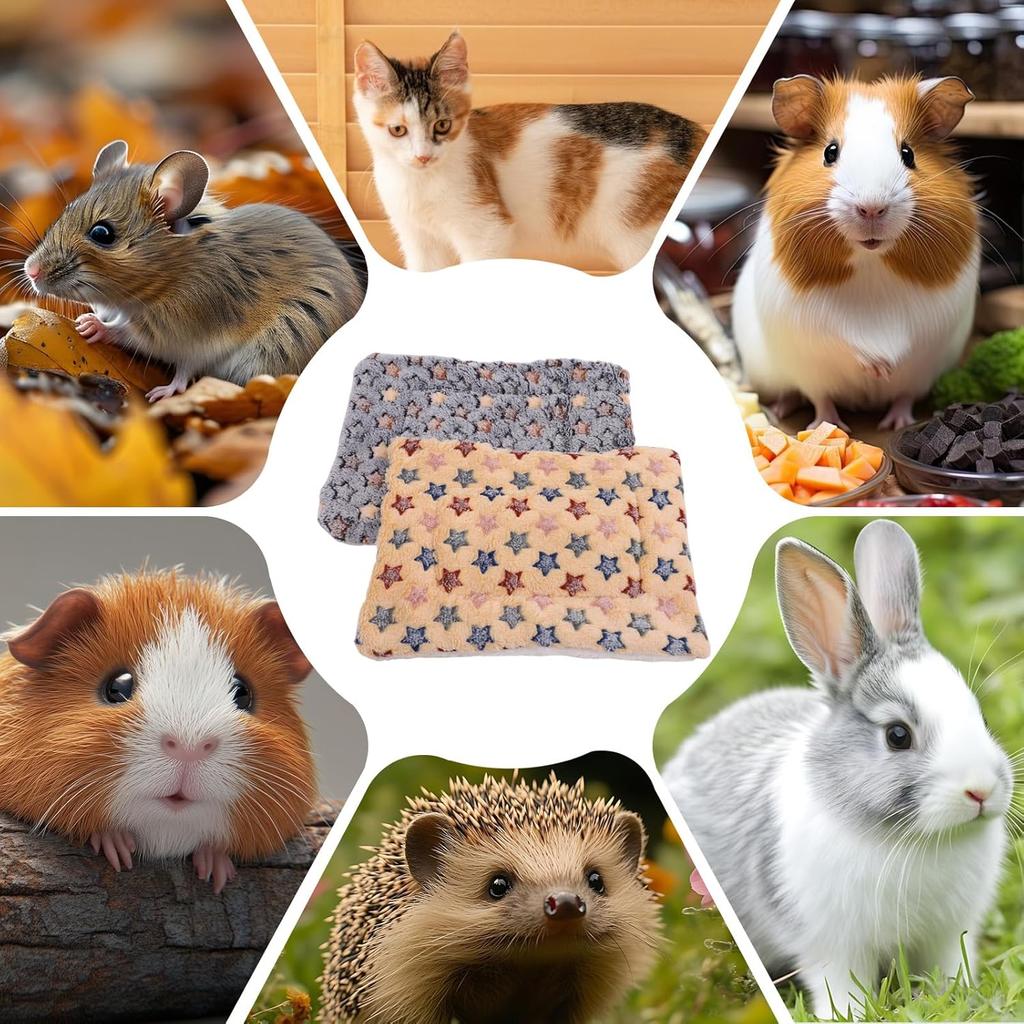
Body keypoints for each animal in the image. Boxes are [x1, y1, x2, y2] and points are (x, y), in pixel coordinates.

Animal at [663, 520, 1012, 1019]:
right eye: (897, 735)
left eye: (980, 716)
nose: (980, 791)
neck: (913, 839)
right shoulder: (832, 946)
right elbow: (841, 985)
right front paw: (850, 1014)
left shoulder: (946, 936)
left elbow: (947, 967)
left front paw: (956, 996)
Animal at [731, 75, 980, 431]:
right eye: (830, 152)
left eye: (908, 154)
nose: (872, 207)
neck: (870, 263)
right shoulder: (814, 321)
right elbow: (846, 344)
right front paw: (874, 368)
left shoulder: (931, 320)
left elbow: (904, 346)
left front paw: (884, 370)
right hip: (798, 373)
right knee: (818, 399)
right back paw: (814, 421)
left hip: (919, 377)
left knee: (903, 396)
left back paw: (895, 425)